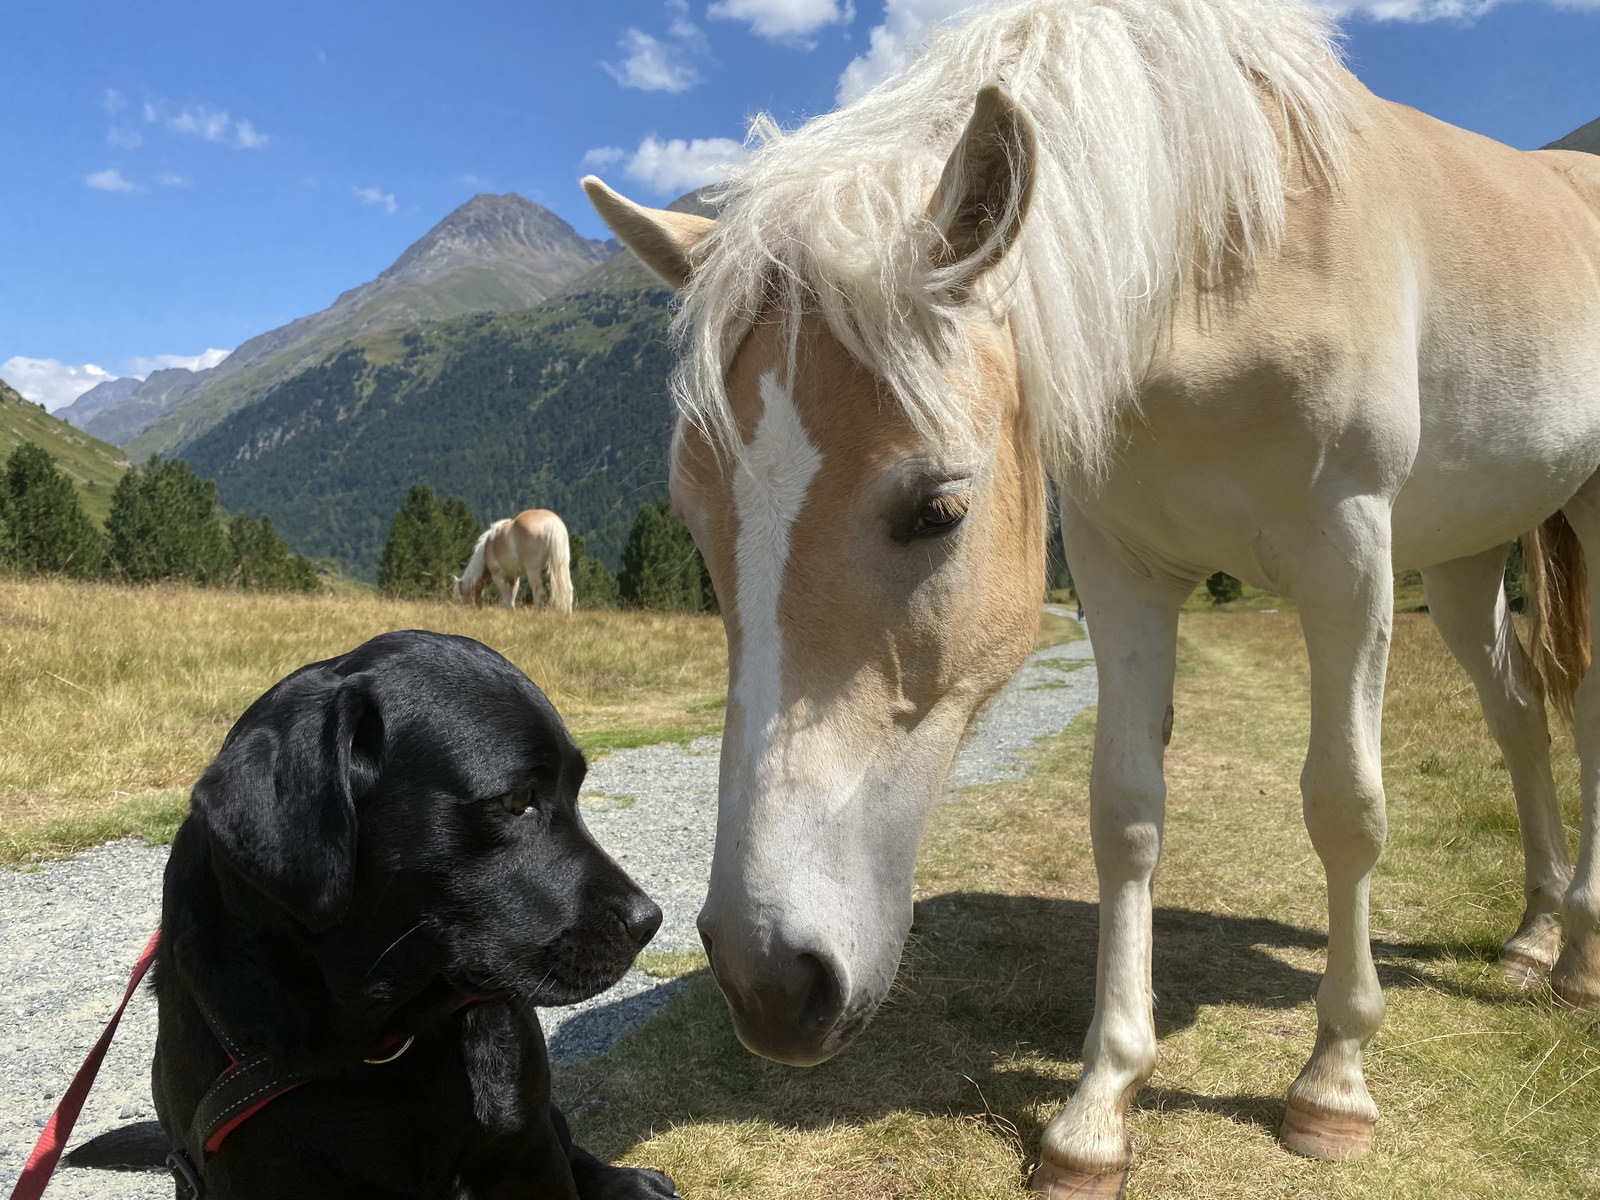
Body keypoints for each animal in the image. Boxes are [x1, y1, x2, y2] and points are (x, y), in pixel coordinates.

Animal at [583, 0, 1600, 1192]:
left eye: (935, 509)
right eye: (698, 529)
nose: (770, 983)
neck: (1226, 248)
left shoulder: (1348, 553)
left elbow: (1345, 808)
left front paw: (1334, 1081)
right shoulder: (1122, 566)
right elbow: (1125, 813)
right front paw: (1099, 1106)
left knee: (1578, 714)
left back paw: (1578, 953)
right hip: (1462, 557)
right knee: (1520, 717)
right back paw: (1533, 936)